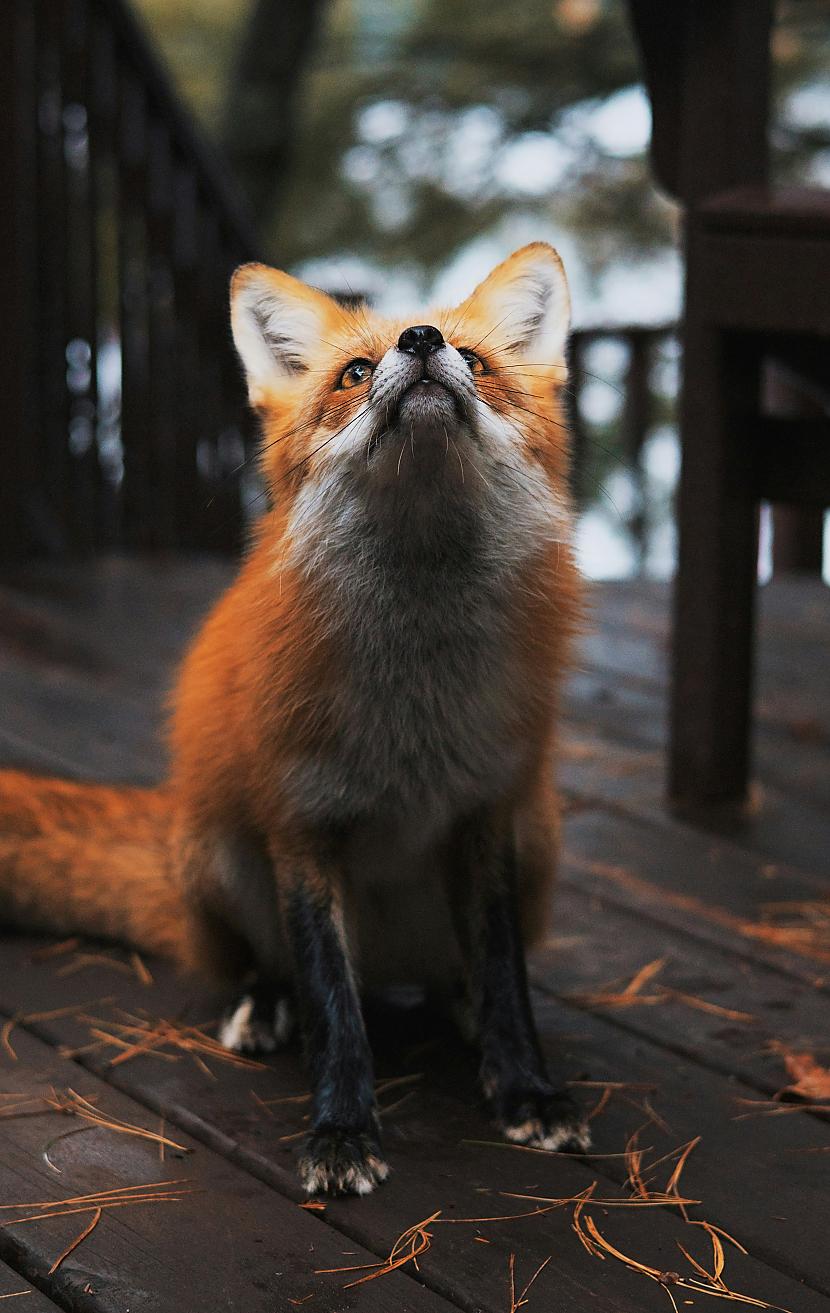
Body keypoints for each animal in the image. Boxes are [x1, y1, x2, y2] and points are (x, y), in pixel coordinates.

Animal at [0, 241, 590, 1197]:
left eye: (474, 360)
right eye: (354, 372)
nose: (421, 341)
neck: (414, 704)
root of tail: (392, 957)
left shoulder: (487, 816)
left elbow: (507, 979)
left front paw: (526, 1090)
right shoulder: (301, 827)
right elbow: (332, 1005)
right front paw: (341, 1130)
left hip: (540, 838)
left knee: (457, 973)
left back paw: (455, 1003)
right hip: (220, 853)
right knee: (271, 965)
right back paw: (263, 1007)